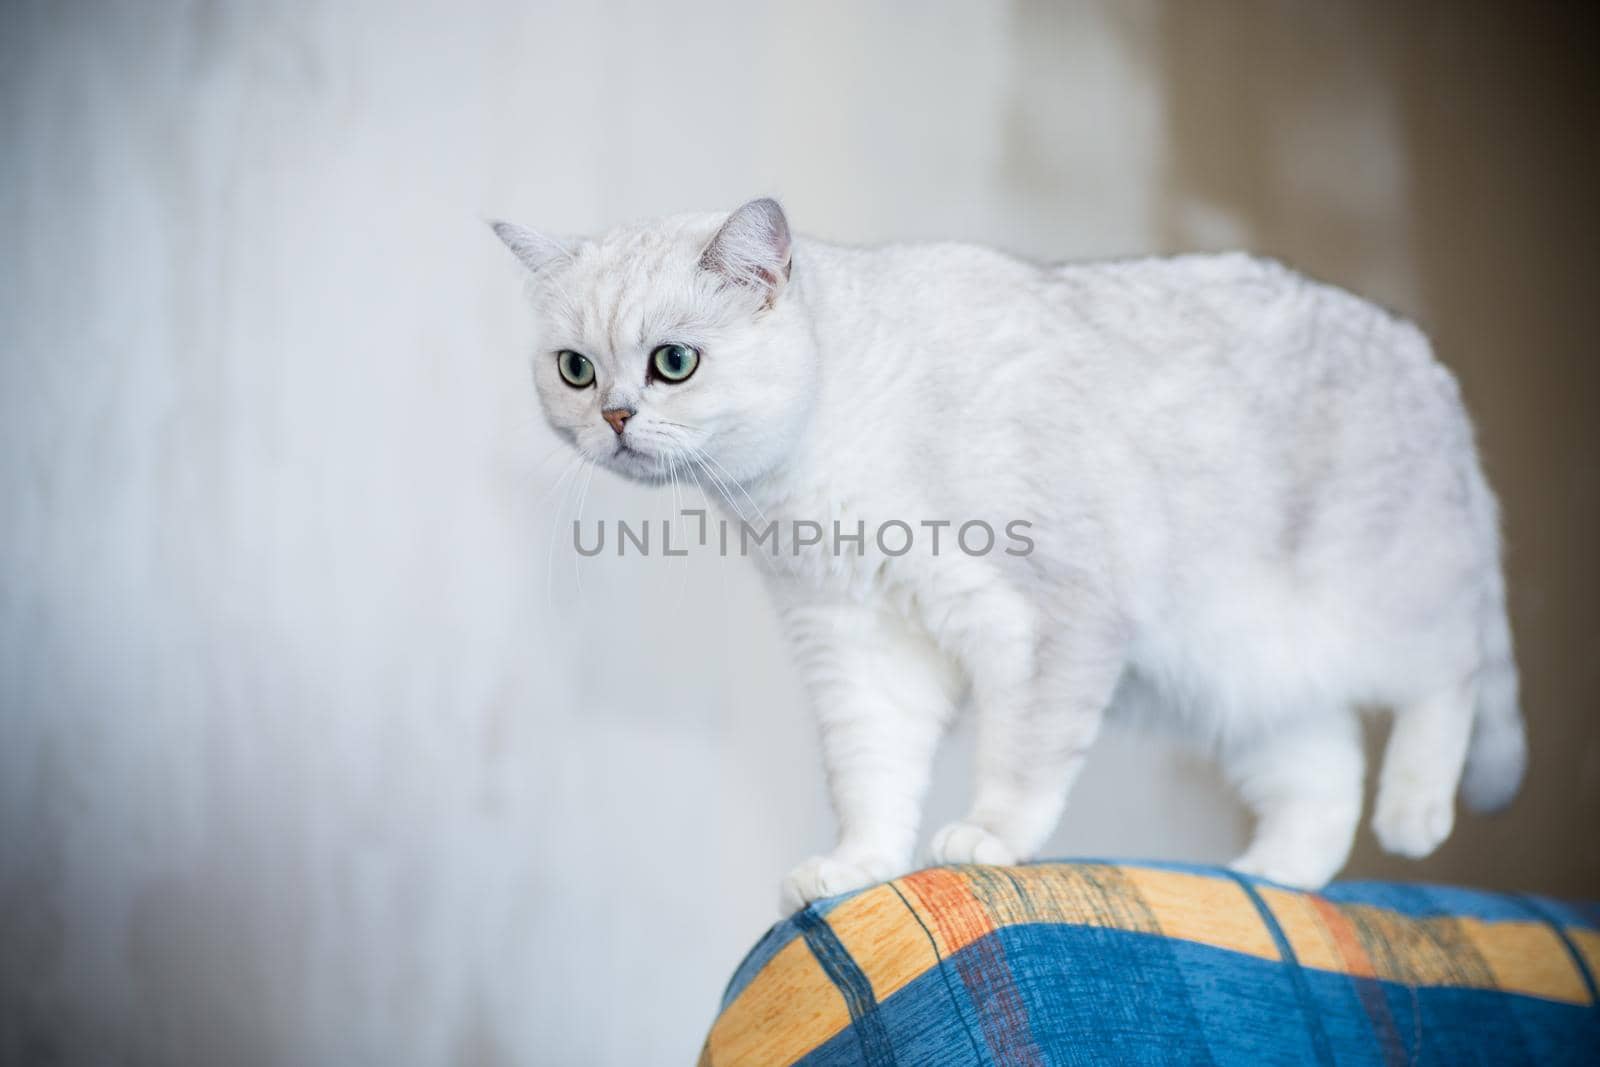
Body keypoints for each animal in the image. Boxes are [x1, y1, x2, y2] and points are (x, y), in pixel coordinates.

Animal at [492, 202, 1516, 921]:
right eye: (576, 369)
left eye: (674, 362)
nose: (612, 417)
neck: (825, 460)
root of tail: (1432, 365)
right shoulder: (858, 642)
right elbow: (870, 774)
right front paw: (857, 865)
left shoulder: (1051, 616)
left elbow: (1023, 754)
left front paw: (986, 838)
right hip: (1241, 680)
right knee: (1327, 771)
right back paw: (1265, 881)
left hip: (1387, 602)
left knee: (1451, 672)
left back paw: (1415, 812)